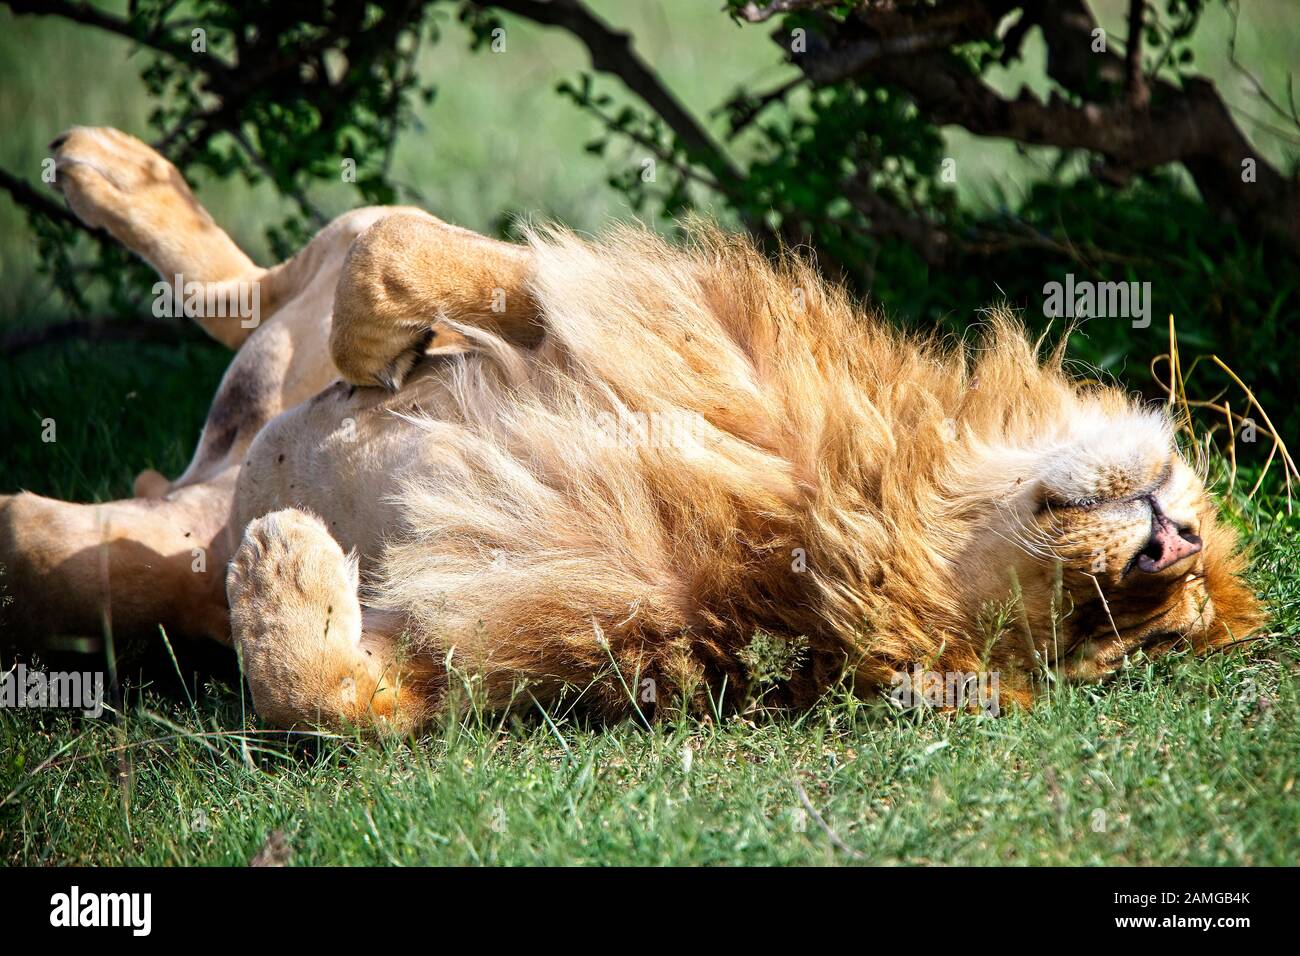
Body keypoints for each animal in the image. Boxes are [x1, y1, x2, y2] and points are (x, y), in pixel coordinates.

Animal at [0, 123, 1258, 728]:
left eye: (1103, 634)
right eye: (1142, 605)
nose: (1166, 544)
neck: (824, 503)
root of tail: (199, 491)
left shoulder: (478, 644)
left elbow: (329, 698)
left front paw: (289, 562)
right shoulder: (623, 324)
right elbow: (402, 256)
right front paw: (382, 353)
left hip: (126, 562)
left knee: (65, 536)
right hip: (276, 342)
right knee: (272, 278)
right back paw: (106, 166)